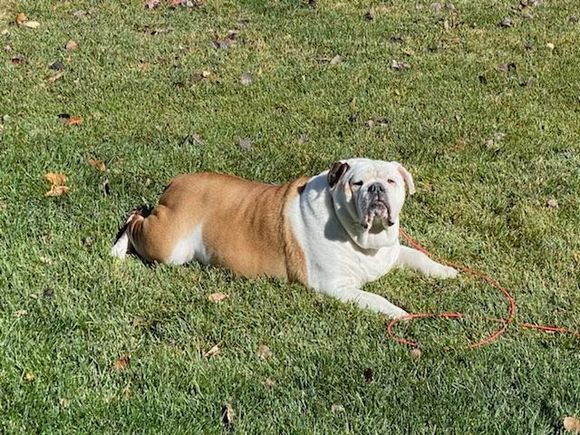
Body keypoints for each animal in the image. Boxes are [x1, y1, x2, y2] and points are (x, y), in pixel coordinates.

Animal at [111, 158, 458, 318]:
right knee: (134, 219)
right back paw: (117, 251)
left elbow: (419, 257)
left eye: (390, 181)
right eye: (356, 183)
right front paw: (399, 313)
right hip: (168, 245)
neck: (363, 237)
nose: (376, 188)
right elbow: (374, 298)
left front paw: (446, 272)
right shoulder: (337, 287)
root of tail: (176, 182)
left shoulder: (392, 252)